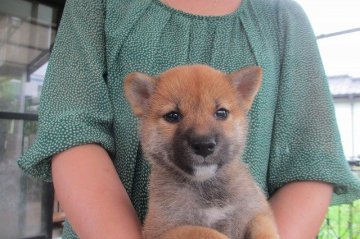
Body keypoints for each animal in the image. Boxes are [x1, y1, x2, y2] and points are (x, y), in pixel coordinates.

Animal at [125, 65, 280, 239]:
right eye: (172, 116)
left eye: (221, 113)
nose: (204, 145)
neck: (206, 186)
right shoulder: (160, 230)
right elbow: (201, 231)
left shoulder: (257, 211)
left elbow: (264, 229)